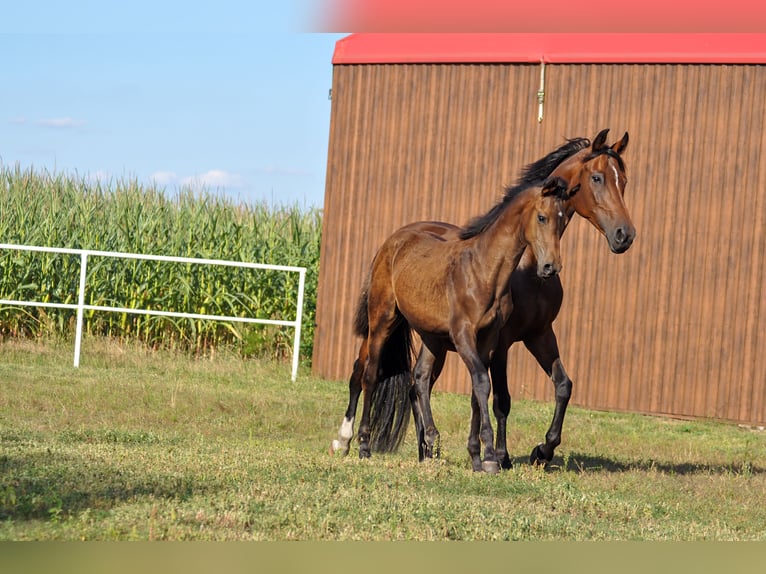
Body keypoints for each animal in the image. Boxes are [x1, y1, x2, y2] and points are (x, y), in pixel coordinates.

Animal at [330, 178, 576, 474]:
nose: (551, 266)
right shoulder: (463, 335)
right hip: (382, 321)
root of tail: (391, 243)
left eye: (563, 221)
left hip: (430, 337)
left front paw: (477, 457)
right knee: (370, 374)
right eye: (542, 217)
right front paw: (490, 456)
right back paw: (363, 446)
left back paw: (429, 445)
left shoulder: (489, 340)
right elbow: (481, 382)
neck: (484, 271)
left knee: (420, 379)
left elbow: (477, 391)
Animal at [412, 129, 640, 472]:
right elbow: (501, 399)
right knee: (418, 383)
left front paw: (542, 451)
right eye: (598, 177)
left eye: (623, 180)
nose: (624, 235)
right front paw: (499, 456)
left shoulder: (540, 334)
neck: (529, 265)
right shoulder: (502, 342)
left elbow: (563, 385)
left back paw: (427, 449)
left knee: (418, 381)